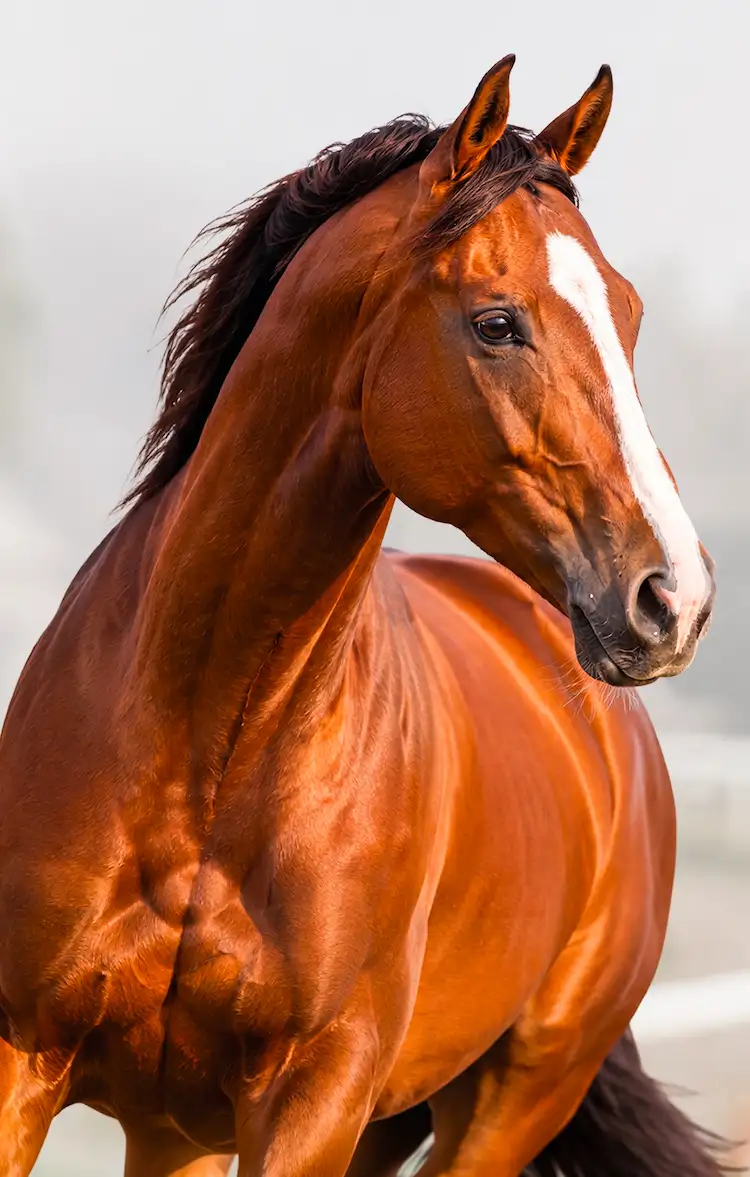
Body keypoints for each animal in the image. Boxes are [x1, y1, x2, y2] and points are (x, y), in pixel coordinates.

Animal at [0, 55, 724, 1177]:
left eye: (631, 314)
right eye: (497, 321)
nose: (674, 597)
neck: (208, 746)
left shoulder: (312, 1099)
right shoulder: (34, 1059)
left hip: (505, 1103)